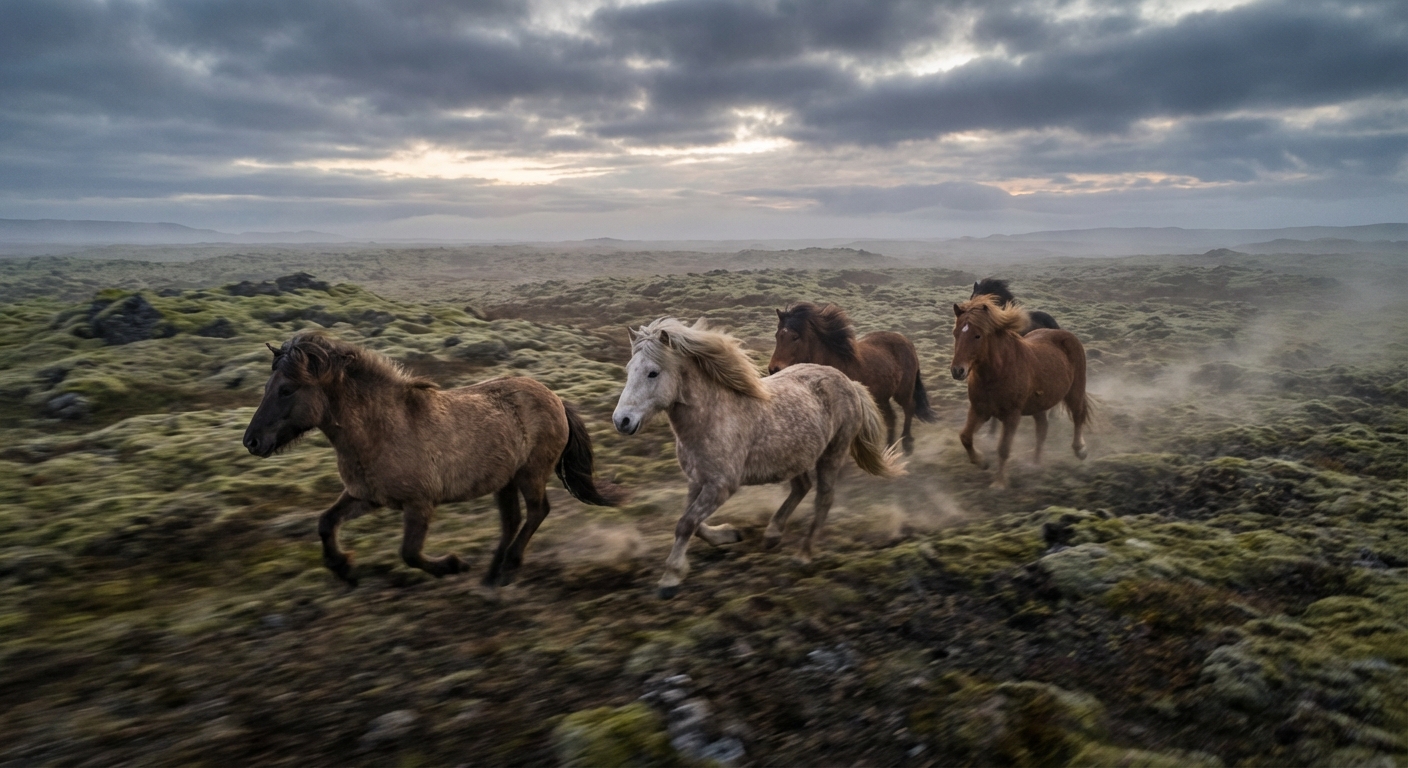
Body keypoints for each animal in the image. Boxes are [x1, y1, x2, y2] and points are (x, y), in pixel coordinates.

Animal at [242, 331, 626, 588]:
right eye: (267, 387)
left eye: (287, 389)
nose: (251, 441)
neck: (381, 430)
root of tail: (555, 398)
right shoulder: (366, 497)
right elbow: (325, 522)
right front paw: (343, 568)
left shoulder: (419, 504)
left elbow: (409, 553)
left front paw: (452, 565)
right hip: (504, 481)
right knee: (512, 521)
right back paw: (492, 573)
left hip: (530, 474)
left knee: (537, 513)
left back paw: (509, 567)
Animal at [612, 318, 904, 598]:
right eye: (628, 370)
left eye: (653, 372)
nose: (621, 421)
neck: (713, 416)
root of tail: (849, 382)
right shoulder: (697, 480)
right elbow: (691, 521)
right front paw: (728, 534)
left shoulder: (721, 486)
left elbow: (686, 524)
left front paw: (670, 579)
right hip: (795, 455)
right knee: (802, 487)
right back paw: (773, 533)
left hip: (833, 453)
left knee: (823, 499)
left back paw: (803, 555)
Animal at [768, 302, 937, 454]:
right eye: (777, 335)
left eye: (795, 337)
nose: (773, 369)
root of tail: (907, 341)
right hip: (881, 398)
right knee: (892, 418)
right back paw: (889, 450)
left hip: (903, 391)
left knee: (909, 408)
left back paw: (907, 444)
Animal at [950, 296, 1091, 489]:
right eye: (955, 333)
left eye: (977, 335)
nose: (957, 371)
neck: (998, 372)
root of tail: (1066, 335)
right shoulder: (979, 410)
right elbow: (965, 437)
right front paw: (982, 462)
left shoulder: (1012, 416)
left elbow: (1003, 449)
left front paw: (999, 483)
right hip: (1039, 405)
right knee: (1042, 429)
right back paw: (1035, 464)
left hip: (1075, 391)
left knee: (1078, 415)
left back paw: (1080, 450)